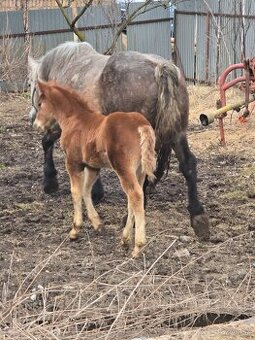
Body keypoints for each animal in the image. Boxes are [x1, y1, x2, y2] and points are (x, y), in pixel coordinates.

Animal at [34, 81, 156, 256]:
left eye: (39, 104)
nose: (37, 125)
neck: (74, 119)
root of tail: (141, 124)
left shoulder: (73, 162)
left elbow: (76, 192)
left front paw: (75, 230)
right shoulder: (92, 166)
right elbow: (86, 191)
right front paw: (98, 224)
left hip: (124, 168)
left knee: (135, 195)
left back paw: (138, 246)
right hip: (139, 171)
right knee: (133, 198)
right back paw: (124, 239)